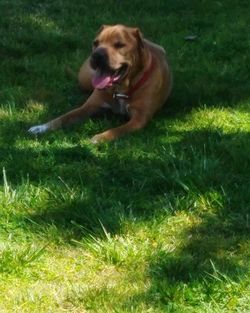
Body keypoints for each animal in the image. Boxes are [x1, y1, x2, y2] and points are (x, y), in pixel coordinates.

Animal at [27, 24, 172, 143]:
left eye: (119, 45)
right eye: (95, 43)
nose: (97, 55)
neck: (120, 89)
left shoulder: (139, 119)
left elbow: (117, 130)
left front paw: (99, 137)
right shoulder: (88, 107)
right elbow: (64, 117)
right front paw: (41, 127)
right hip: (85, 79)